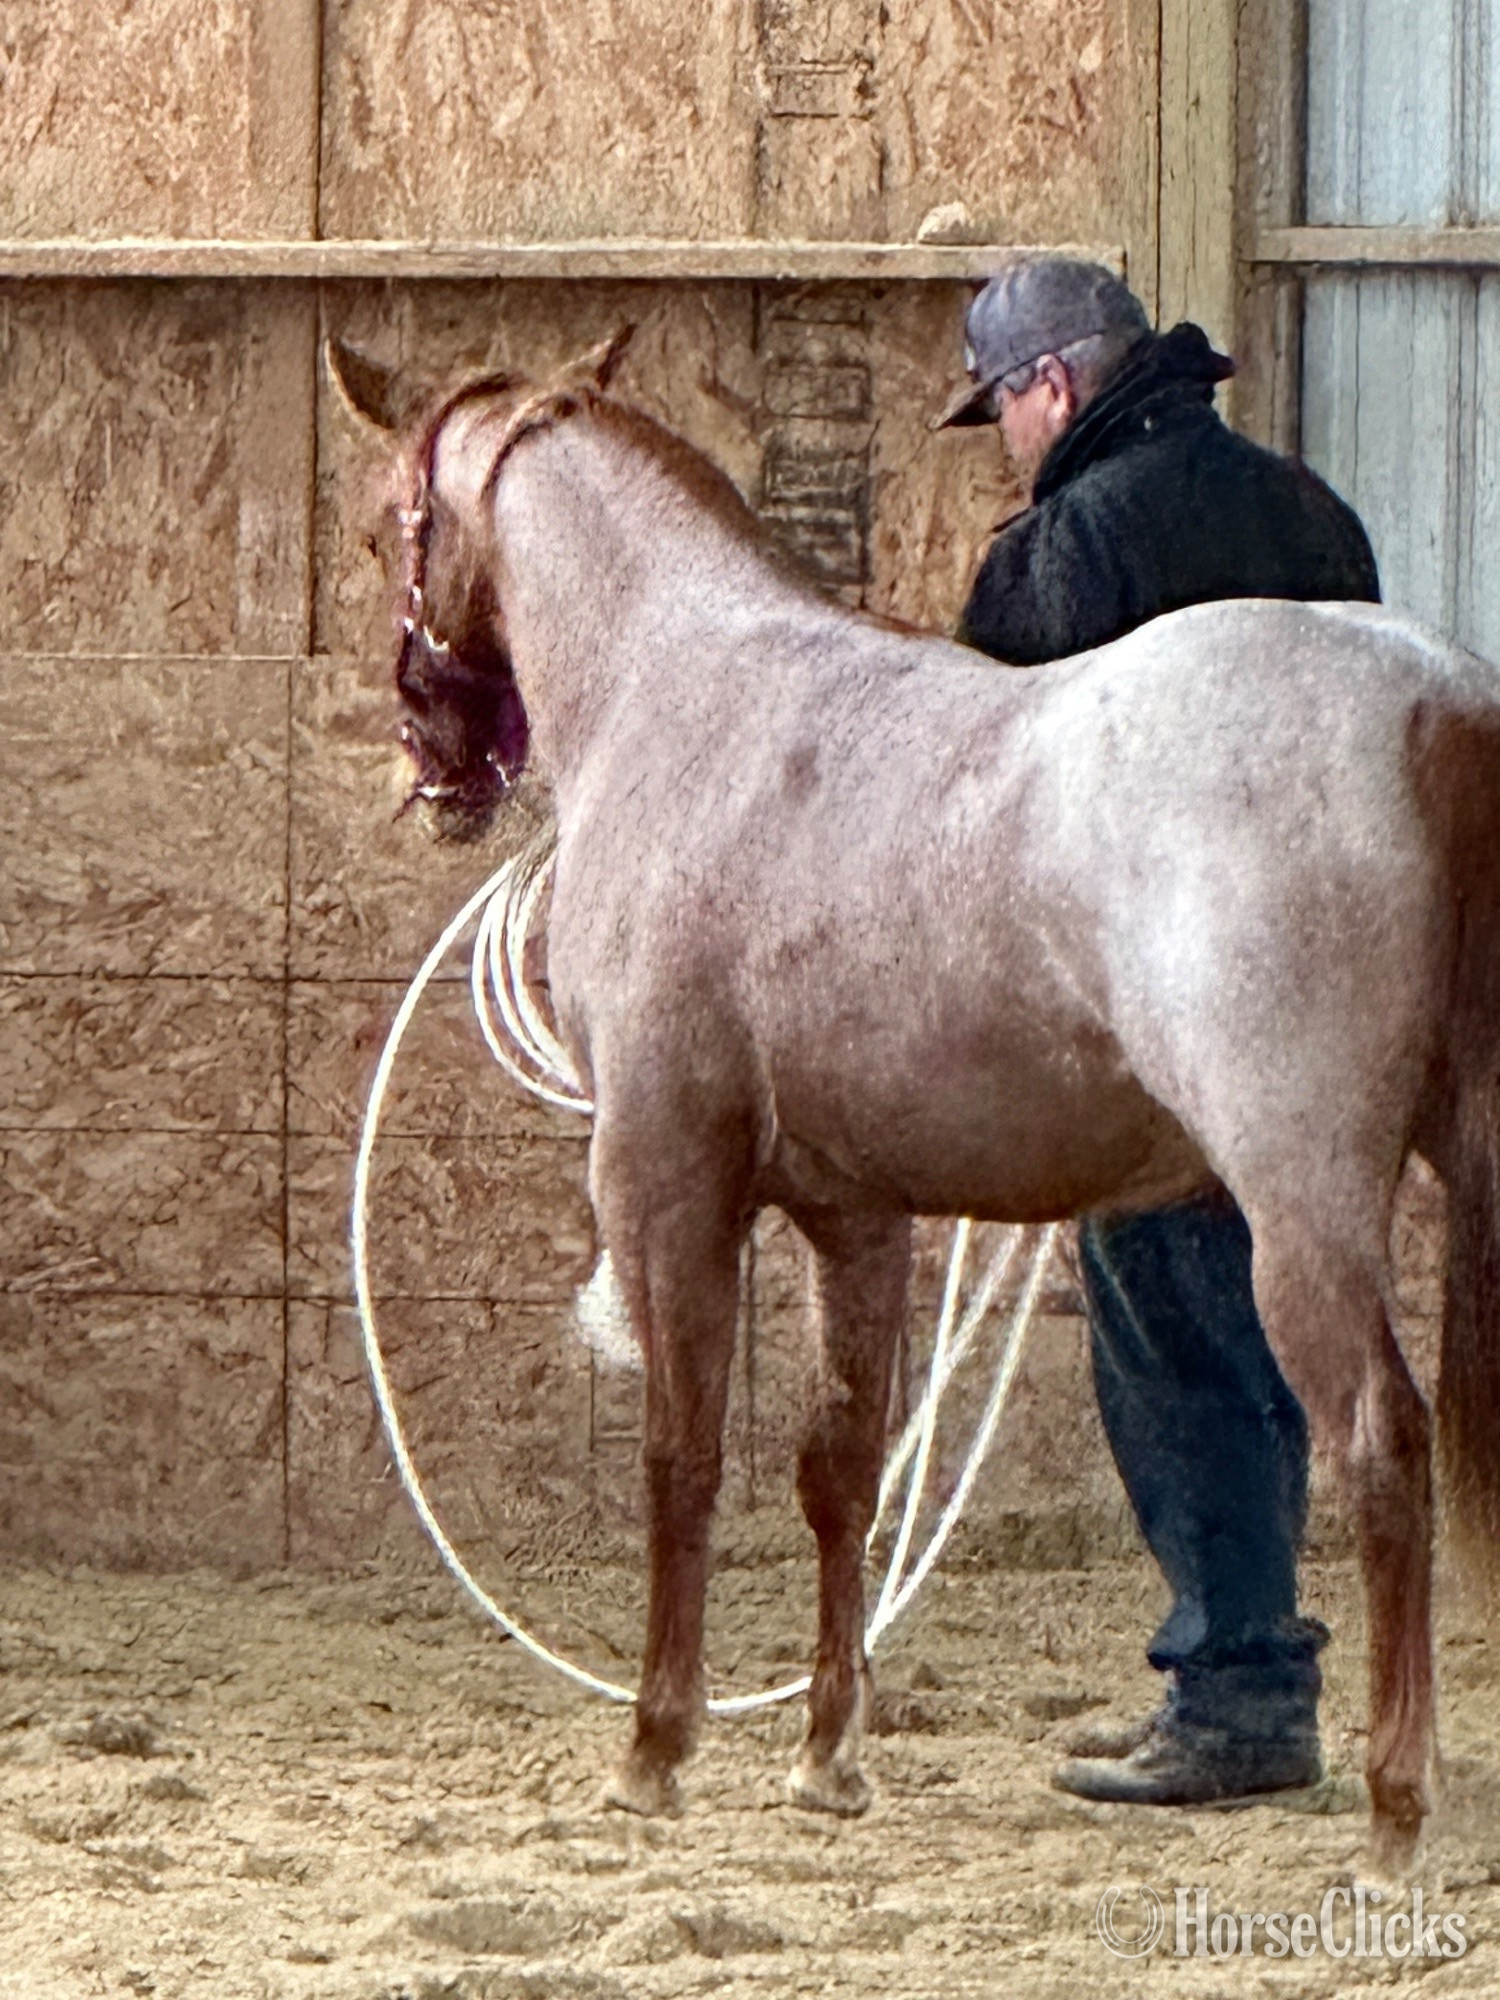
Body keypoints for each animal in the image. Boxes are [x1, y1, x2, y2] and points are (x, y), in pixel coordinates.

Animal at [328, 329, 1500, 1868]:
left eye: (378, 531)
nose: (433, 769)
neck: (687, 696)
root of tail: (1437, 701)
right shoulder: (856, 1215)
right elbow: (842, 1468)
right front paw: (828, 1753)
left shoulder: (661, 1175)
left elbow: (682, 1454)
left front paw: (655, 1748)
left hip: (1302, 1205)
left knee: (1378, 1447)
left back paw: (1396, 1804)